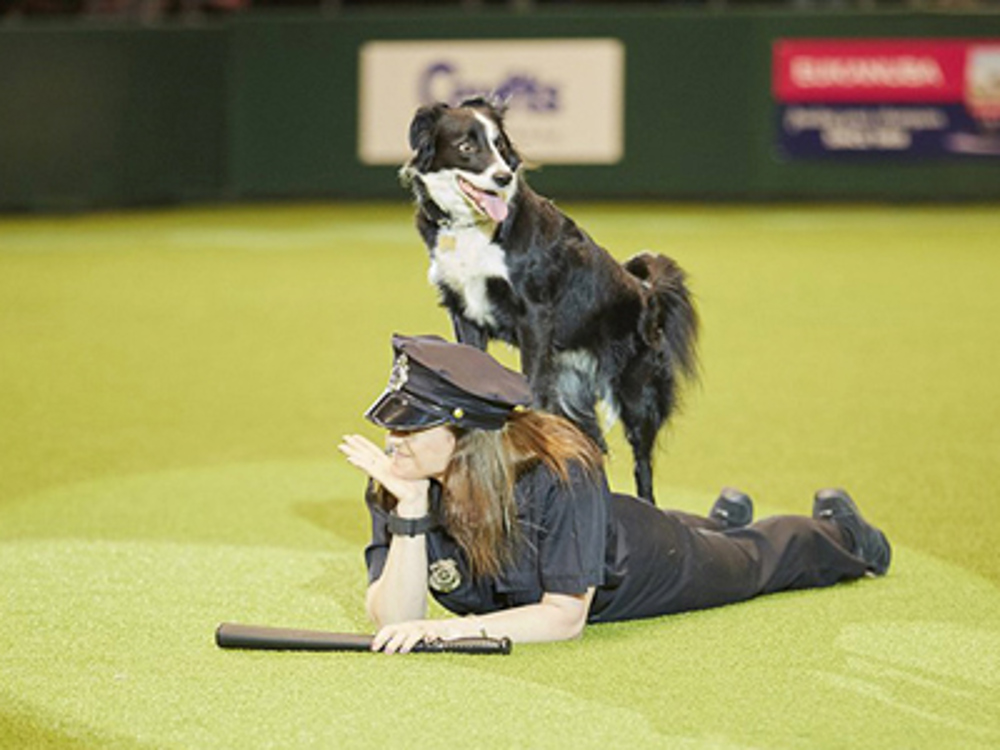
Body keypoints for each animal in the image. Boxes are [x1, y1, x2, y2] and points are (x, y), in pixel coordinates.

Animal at [396, 95, 696, 506]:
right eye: (466, 146)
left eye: (500, 146)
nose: (503, 177)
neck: (475, 229)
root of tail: (646, 292)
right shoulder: (465, 312)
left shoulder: (534, 313)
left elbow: (532, 387)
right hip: (574, 390)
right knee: (589, 443)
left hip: (638, 391)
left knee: (642, 462)